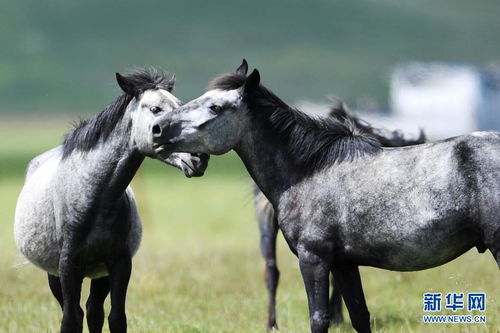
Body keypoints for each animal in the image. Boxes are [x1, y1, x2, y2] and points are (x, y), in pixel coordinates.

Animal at [152, 60, 500, 332]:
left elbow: (319, 319)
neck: (310, 170)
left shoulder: (314, 259)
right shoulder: (344, 264)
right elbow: (359, 316)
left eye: (215, 107)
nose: (156, 129)